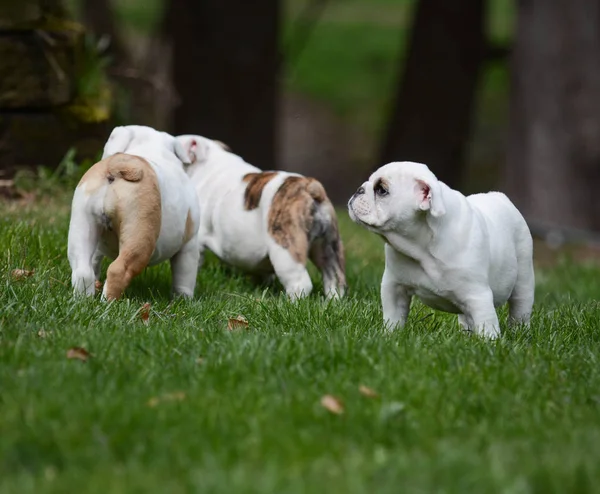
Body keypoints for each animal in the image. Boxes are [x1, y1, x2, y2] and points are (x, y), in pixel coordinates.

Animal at [67, 125, 200, 300]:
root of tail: (121, 165)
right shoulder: (189, 245)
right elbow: (185, 278)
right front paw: (183, 299)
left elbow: (94, 262)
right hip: (139, 233)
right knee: (118, 270)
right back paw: (108, 303)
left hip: (82, 225)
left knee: (83, 269)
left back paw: (83, 300)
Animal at [173, 133, 346, 300]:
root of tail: (310, 187)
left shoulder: (197, 240)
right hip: (329, 246)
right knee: (336, 279)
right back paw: (333, 302)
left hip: (285, 249)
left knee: (300, 284)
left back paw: (287, 304)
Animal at [346, 160, 536, 338]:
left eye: (382, 190)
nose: (358, 190)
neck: (421, 247)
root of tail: (501, 197)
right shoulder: (394, 286)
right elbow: (393, 318)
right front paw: (390, 336)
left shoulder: (478, 296)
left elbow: (486, 326)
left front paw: (489, 343)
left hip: (523, 278)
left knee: (520, 308)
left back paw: (520, 332)